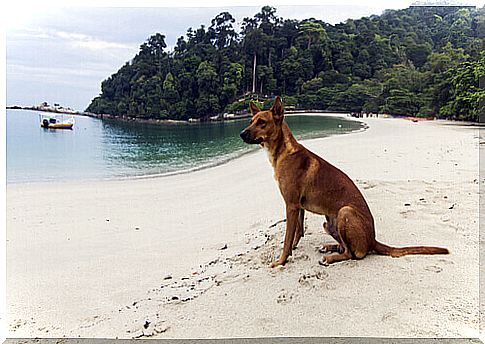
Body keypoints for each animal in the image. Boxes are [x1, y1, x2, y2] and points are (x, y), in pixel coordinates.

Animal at [240, 97, 448, 268]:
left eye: (262, 122)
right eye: (251, 121)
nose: (241, 134)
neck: (282, 151)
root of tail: (372, 239)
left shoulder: (291, 205)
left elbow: (286, 239)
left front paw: (281, 261)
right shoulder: (298, 207)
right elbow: (297, 233)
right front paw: (292, 251)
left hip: (344, 212)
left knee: (352, 254)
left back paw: (330, 258)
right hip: (329, 222)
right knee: (344, 247)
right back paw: (330, 247)